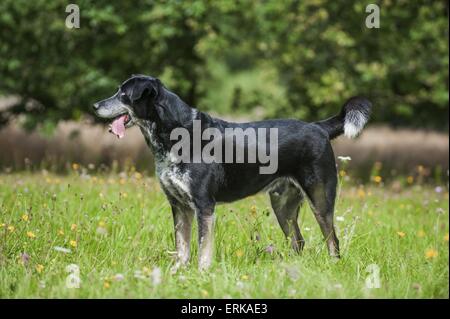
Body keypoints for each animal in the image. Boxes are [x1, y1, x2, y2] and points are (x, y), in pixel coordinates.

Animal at [93, 74, 370, 270]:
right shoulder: (178, 205)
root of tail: (318, 127)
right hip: (283, 205)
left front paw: (202, 274)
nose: (95, 105)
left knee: (332, 240)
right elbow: (182, 247)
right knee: (298, 242)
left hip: (320, 199)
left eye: (123, 94)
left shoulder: (204, 205)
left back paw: (333, 267)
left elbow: (203, 247)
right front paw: (177, 274)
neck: (175, 134)